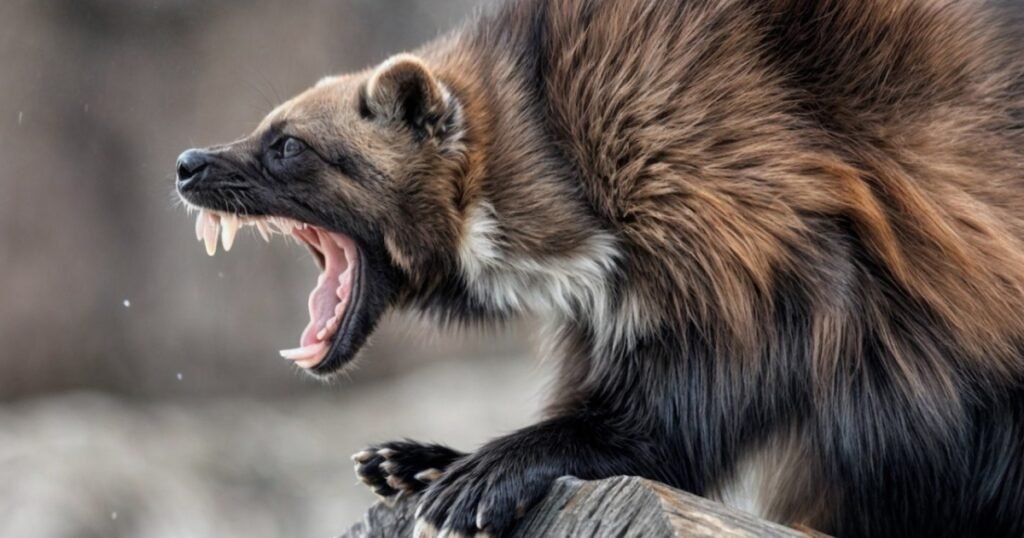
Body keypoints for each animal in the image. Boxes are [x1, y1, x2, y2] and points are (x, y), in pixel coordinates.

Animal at [175, 0, 1024, 536]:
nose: (188, 162)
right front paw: (413, 460)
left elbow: (681, 407)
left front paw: (481, 475)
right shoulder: (602, 304)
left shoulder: (729, 213)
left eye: (288, 144)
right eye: (267, 122)